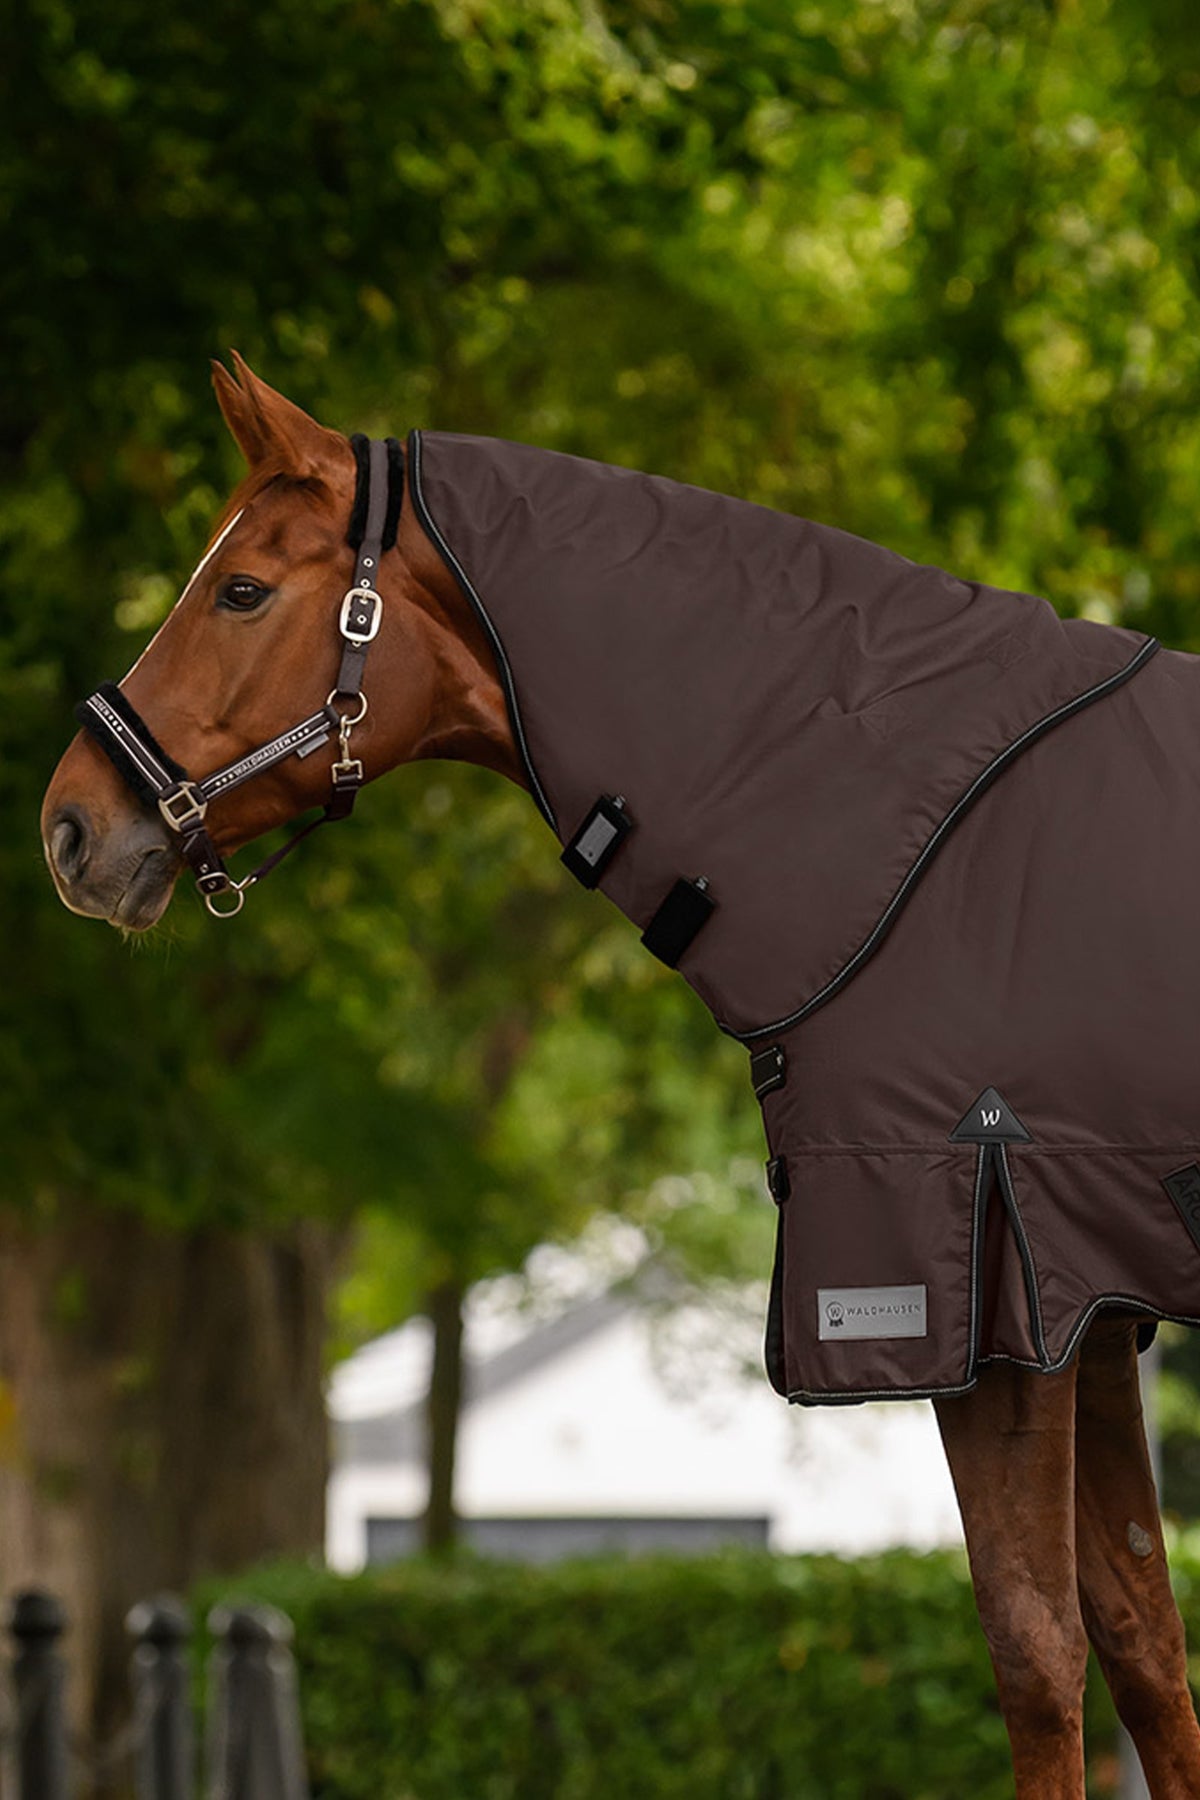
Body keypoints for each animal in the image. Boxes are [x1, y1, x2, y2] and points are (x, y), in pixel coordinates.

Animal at [42, 356, 1200, 1797]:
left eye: (241, 589)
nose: (71, 829)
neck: (913, 831)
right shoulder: (1080, 1309)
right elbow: (1144, 1651)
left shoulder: (984, 1292)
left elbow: (1039, 1660)